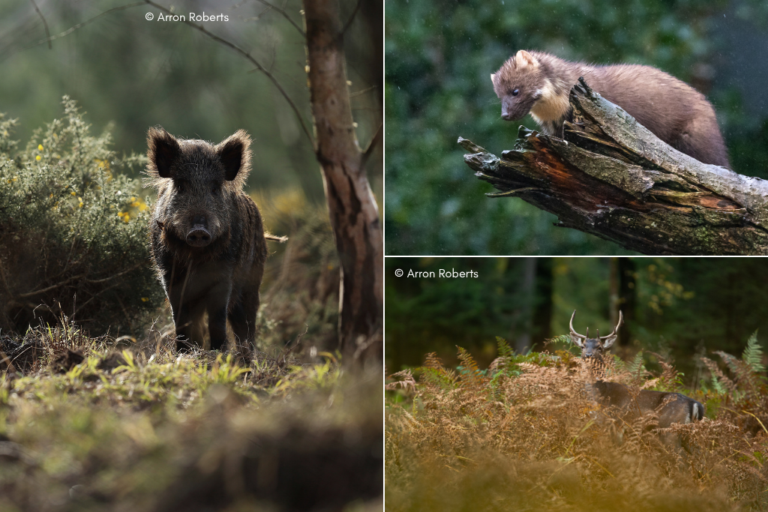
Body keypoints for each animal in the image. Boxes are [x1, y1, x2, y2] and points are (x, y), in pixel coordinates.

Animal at [146, 127, 267, 356]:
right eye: (181, 186)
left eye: (215, 188)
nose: (199, 230)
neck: (196, 256)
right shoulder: (169, 275)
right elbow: (181, 321)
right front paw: (183, 355)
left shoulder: (224, 276)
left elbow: (218, 321)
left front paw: (218, 355)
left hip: (253, 282)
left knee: (246, 327)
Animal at [569, 310, 705, 450]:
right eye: (582, 346)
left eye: (600, 347)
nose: (588, 355)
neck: (600, 395)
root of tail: (695, 404)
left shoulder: (615, 423)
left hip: (671, 430)